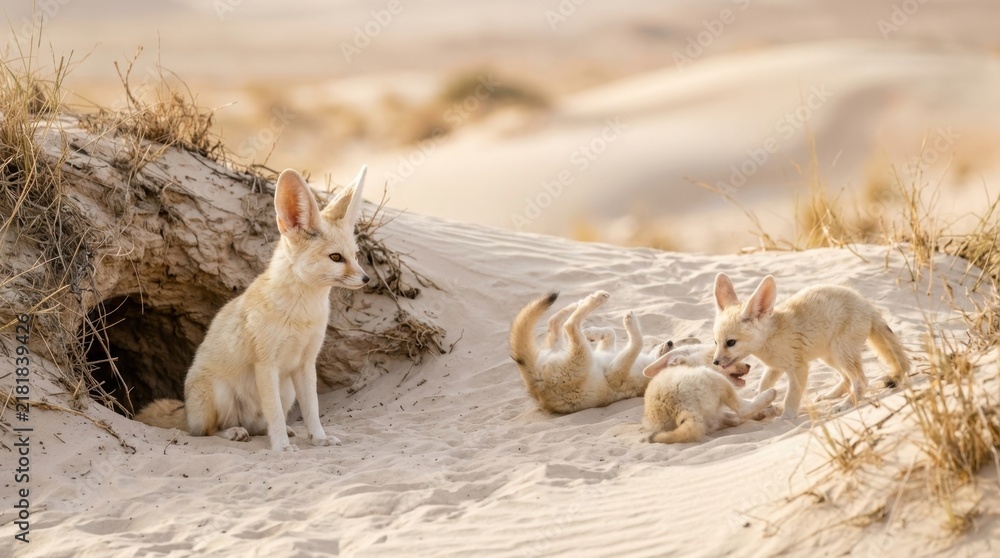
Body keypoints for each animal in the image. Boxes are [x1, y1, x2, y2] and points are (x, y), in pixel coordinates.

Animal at [135, 166, 371, 451]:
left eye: (355, 256)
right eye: (336, 258)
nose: (367, 279)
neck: (301, 314)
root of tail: (187, 411)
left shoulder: (305, 364)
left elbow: (311, 410)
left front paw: (319, 438)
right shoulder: (266, 364)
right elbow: (275, 413)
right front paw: (281, 447)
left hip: (287, 390)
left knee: (258, 426)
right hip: (221, 393)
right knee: (206, 431)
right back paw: (234, 432)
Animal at [509, 290, 686, 414]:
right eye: (675, 346)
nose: (670, 342)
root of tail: (537, 387)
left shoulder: (615, 375)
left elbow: (638, 342)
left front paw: (630, 322)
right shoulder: (608, 352)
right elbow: (611, 333)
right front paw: (593, 332)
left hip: (582, 354)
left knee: (570, 325)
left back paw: (595, 299)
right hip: (560, 346)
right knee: (554, 322)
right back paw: (579, 304)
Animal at [642, 346, 776, 444]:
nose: (749, 366)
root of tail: (679, 406)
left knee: (735, 418)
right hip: (715, 377)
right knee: (742, 409)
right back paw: (769, 395)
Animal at [710, 273, 911, 420]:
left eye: (731, 343)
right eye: (716, 342)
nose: (715, 362)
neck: (772, 336)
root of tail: (867, 304)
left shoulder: (799, 368)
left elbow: (791, 397)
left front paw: (786, 418)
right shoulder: (776, 367)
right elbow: (763, 384)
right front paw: (763, 403)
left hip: (841, 352)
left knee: (861, 382)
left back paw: (844, 405)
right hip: (829, 355)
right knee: (847, 379)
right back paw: (831, 396)